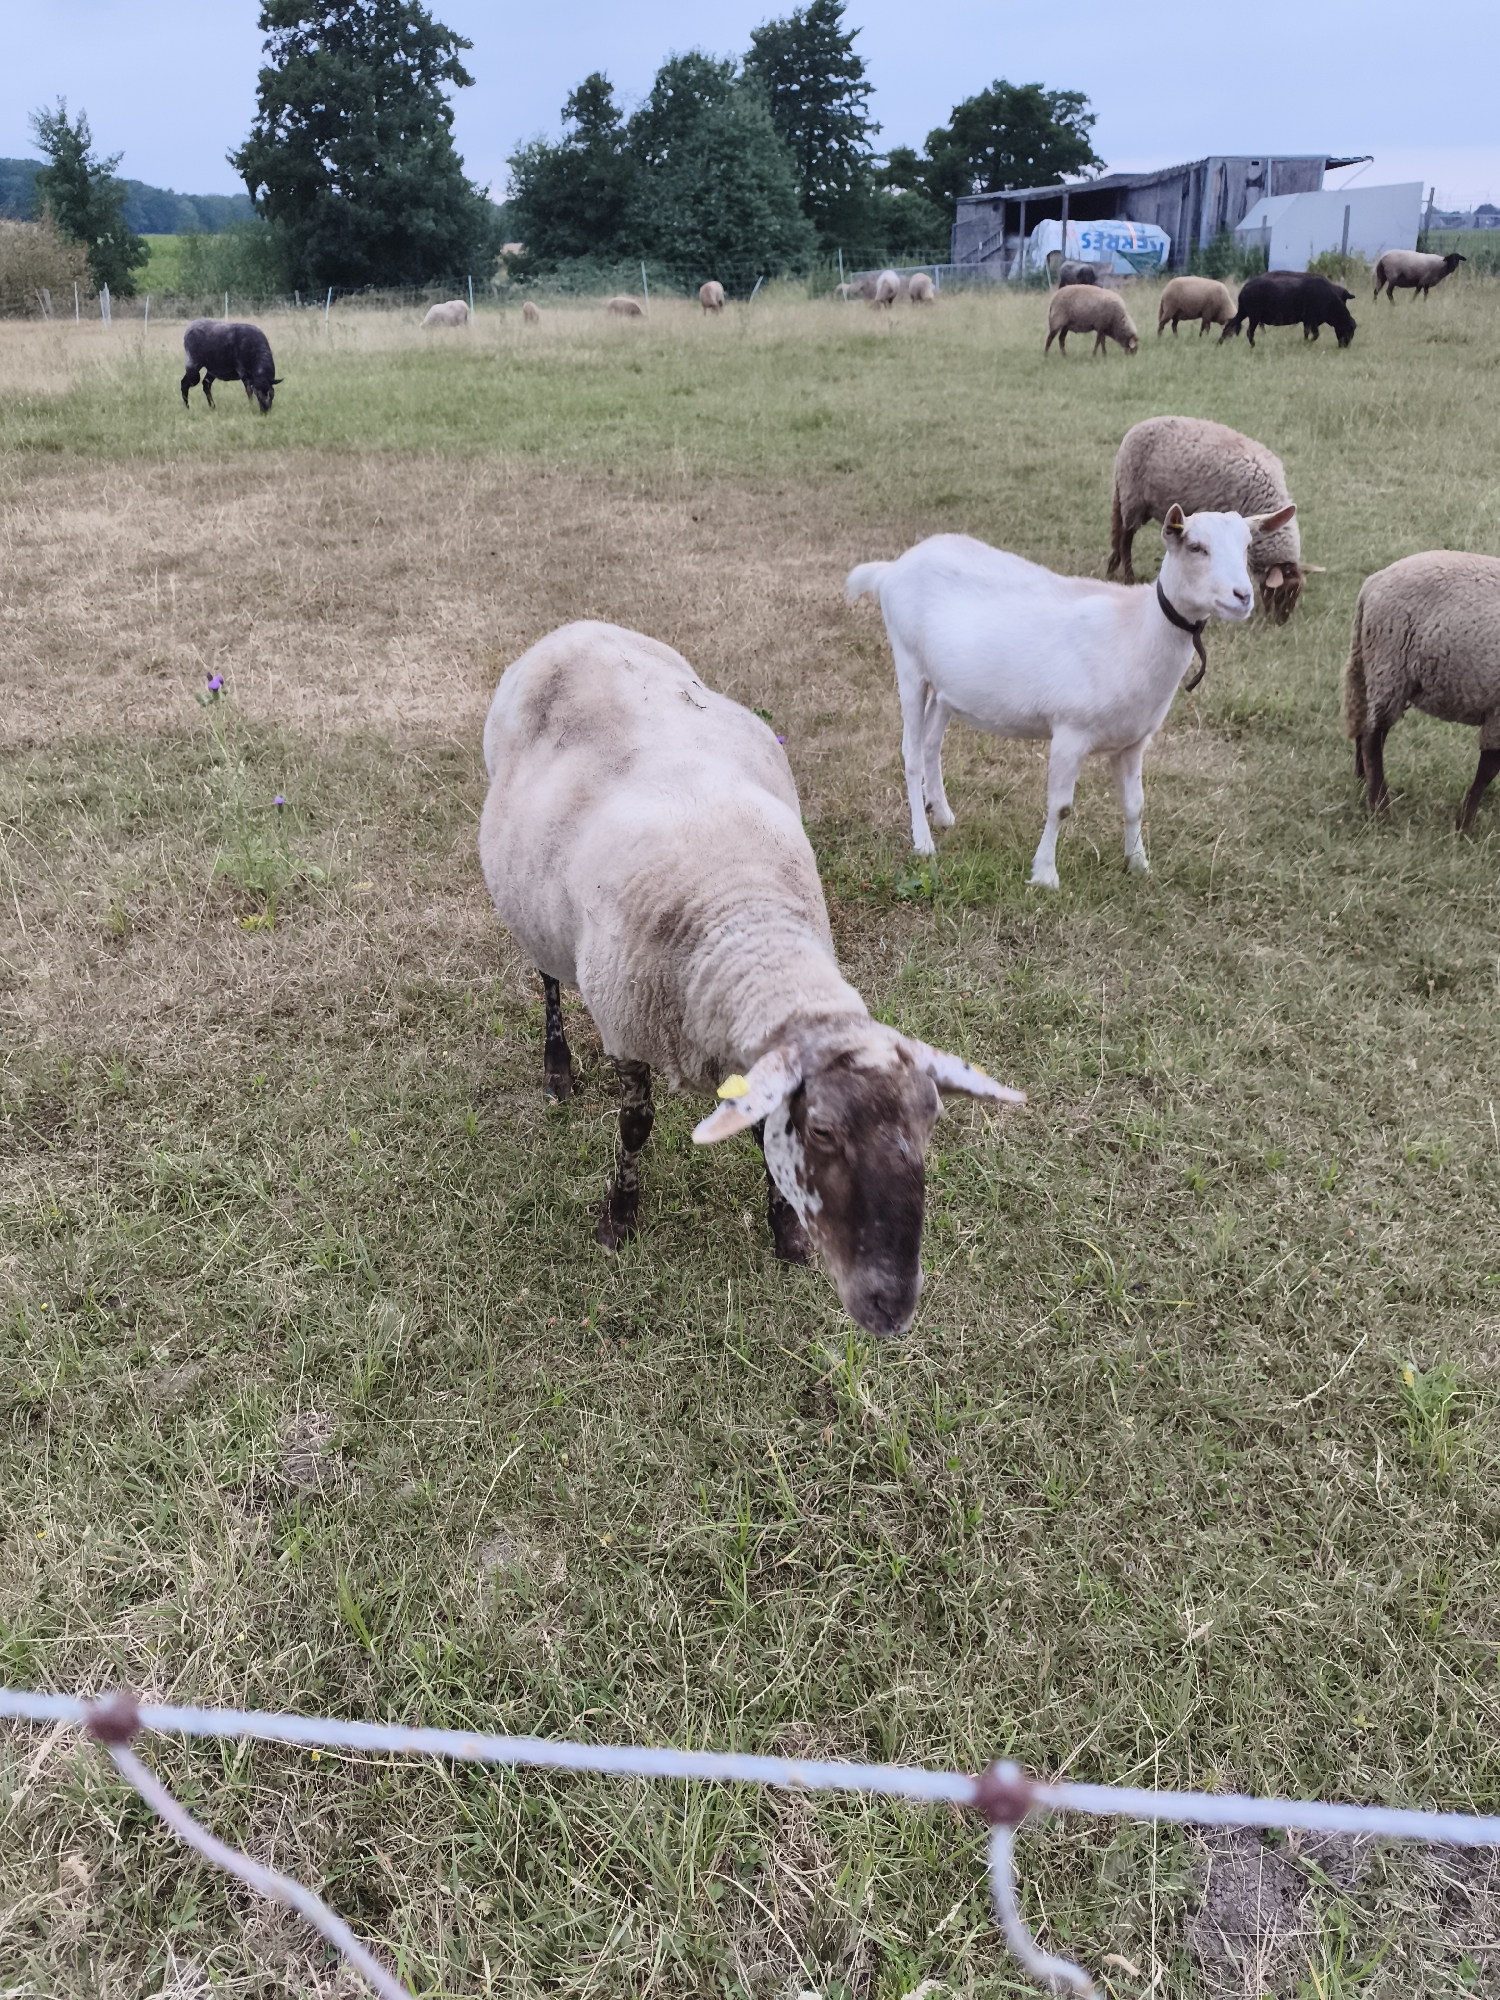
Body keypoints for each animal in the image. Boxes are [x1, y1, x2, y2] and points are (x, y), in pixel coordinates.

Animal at [478, 621, 1023, 1337]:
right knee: (546, 980)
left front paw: (785, 1232)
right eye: (823, 1132)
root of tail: (577, 627)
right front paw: (618, 1219)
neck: (747, 924)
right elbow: (635, 1127)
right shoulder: (628, 1029)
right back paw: (557, 1067)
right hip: (533, 912)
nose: (894, 1306)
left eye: (932, 1119)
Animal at [847, 502, 1294, 884]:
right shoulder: (1069, 732)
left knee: (931, 743)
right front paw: (1045, 875)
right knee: (910, 752)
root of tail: (892, 569)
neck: (1134, 630)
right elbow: (1060, 807)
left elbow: (1136, 804)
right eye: (1196, 546)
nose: (1242, 597)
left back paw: (941, 813)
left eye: (1248, 546)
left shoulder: (1134, 742)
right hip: (908, 662)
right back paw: (923, 842)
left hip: (945, 685)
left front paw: (1139, 865)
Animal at [1108, 416, 1318, 623]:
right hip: (1133, 497)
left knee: (1118, 533)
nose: (1279, 623)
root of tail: (1138, 426)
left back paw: (1112, 567)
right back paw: (1128, 577)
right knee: (1126, 539)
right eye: (1280, 593)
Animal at [1222, 273, 1356, 347]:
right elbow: (1315, 335)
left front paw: (1304, 343)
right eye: (1348, 329)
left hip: (1243, 312)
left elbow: (1307, 333)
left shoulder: (1307, 321)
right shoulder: (1312, 318)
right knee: (1249, 332)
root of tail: (1244, 290)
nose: (1346, 345)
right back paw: (1253, 346)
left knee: (1230, 324)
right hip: (1254, 315)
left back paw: (1220, 342)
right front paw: (1307, 343)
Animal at [1342, 551, 1500, 830]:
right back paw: (1380, 808)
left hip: (1376, 669)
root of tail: (1374, 582)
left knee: (1364, 728)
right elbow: (1488, 770)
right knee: (1373, 736)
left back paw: (1363, 784)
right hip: (1390, 667)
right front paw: (1463, 825)